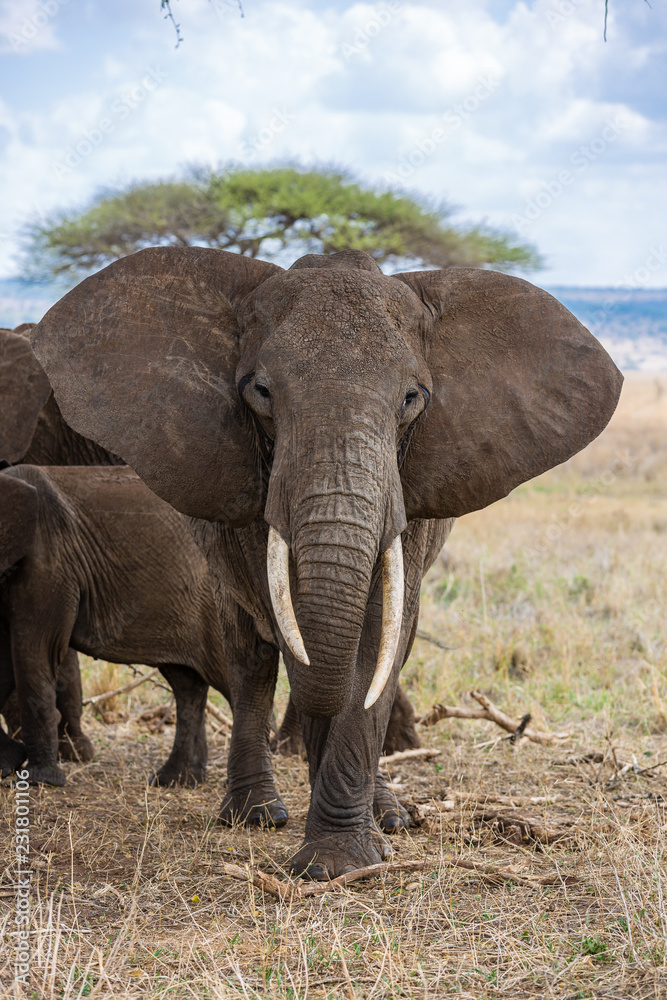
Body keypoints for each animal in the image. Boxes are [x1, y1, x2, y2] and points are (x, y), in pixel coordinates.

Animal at [31, 247, 623, 877]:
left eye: (412, 399)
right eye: (261, 392)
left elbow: (376, 639)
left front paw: (344, 860)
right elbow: (295, 637)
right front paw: (331, 857)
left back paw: (388, 815)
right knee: (251, 658)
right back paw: (256, 815)